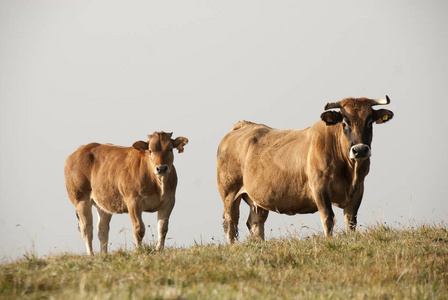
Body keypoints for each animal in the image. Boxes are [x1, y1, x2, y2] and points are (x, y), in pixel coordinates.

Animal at [219, 96, 394, 244]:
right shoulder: (319, 187)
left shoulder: (358, 190)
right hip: (229, 193)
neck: (350, 171)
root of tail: (243, 125)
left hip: (257, 198)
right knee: (230, 223)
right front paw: (329, 242)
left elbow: (351, 221)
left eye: (369, 122)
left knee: (256, 223)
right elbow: (328, 218)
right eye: (345, 123)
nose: (360, 150)